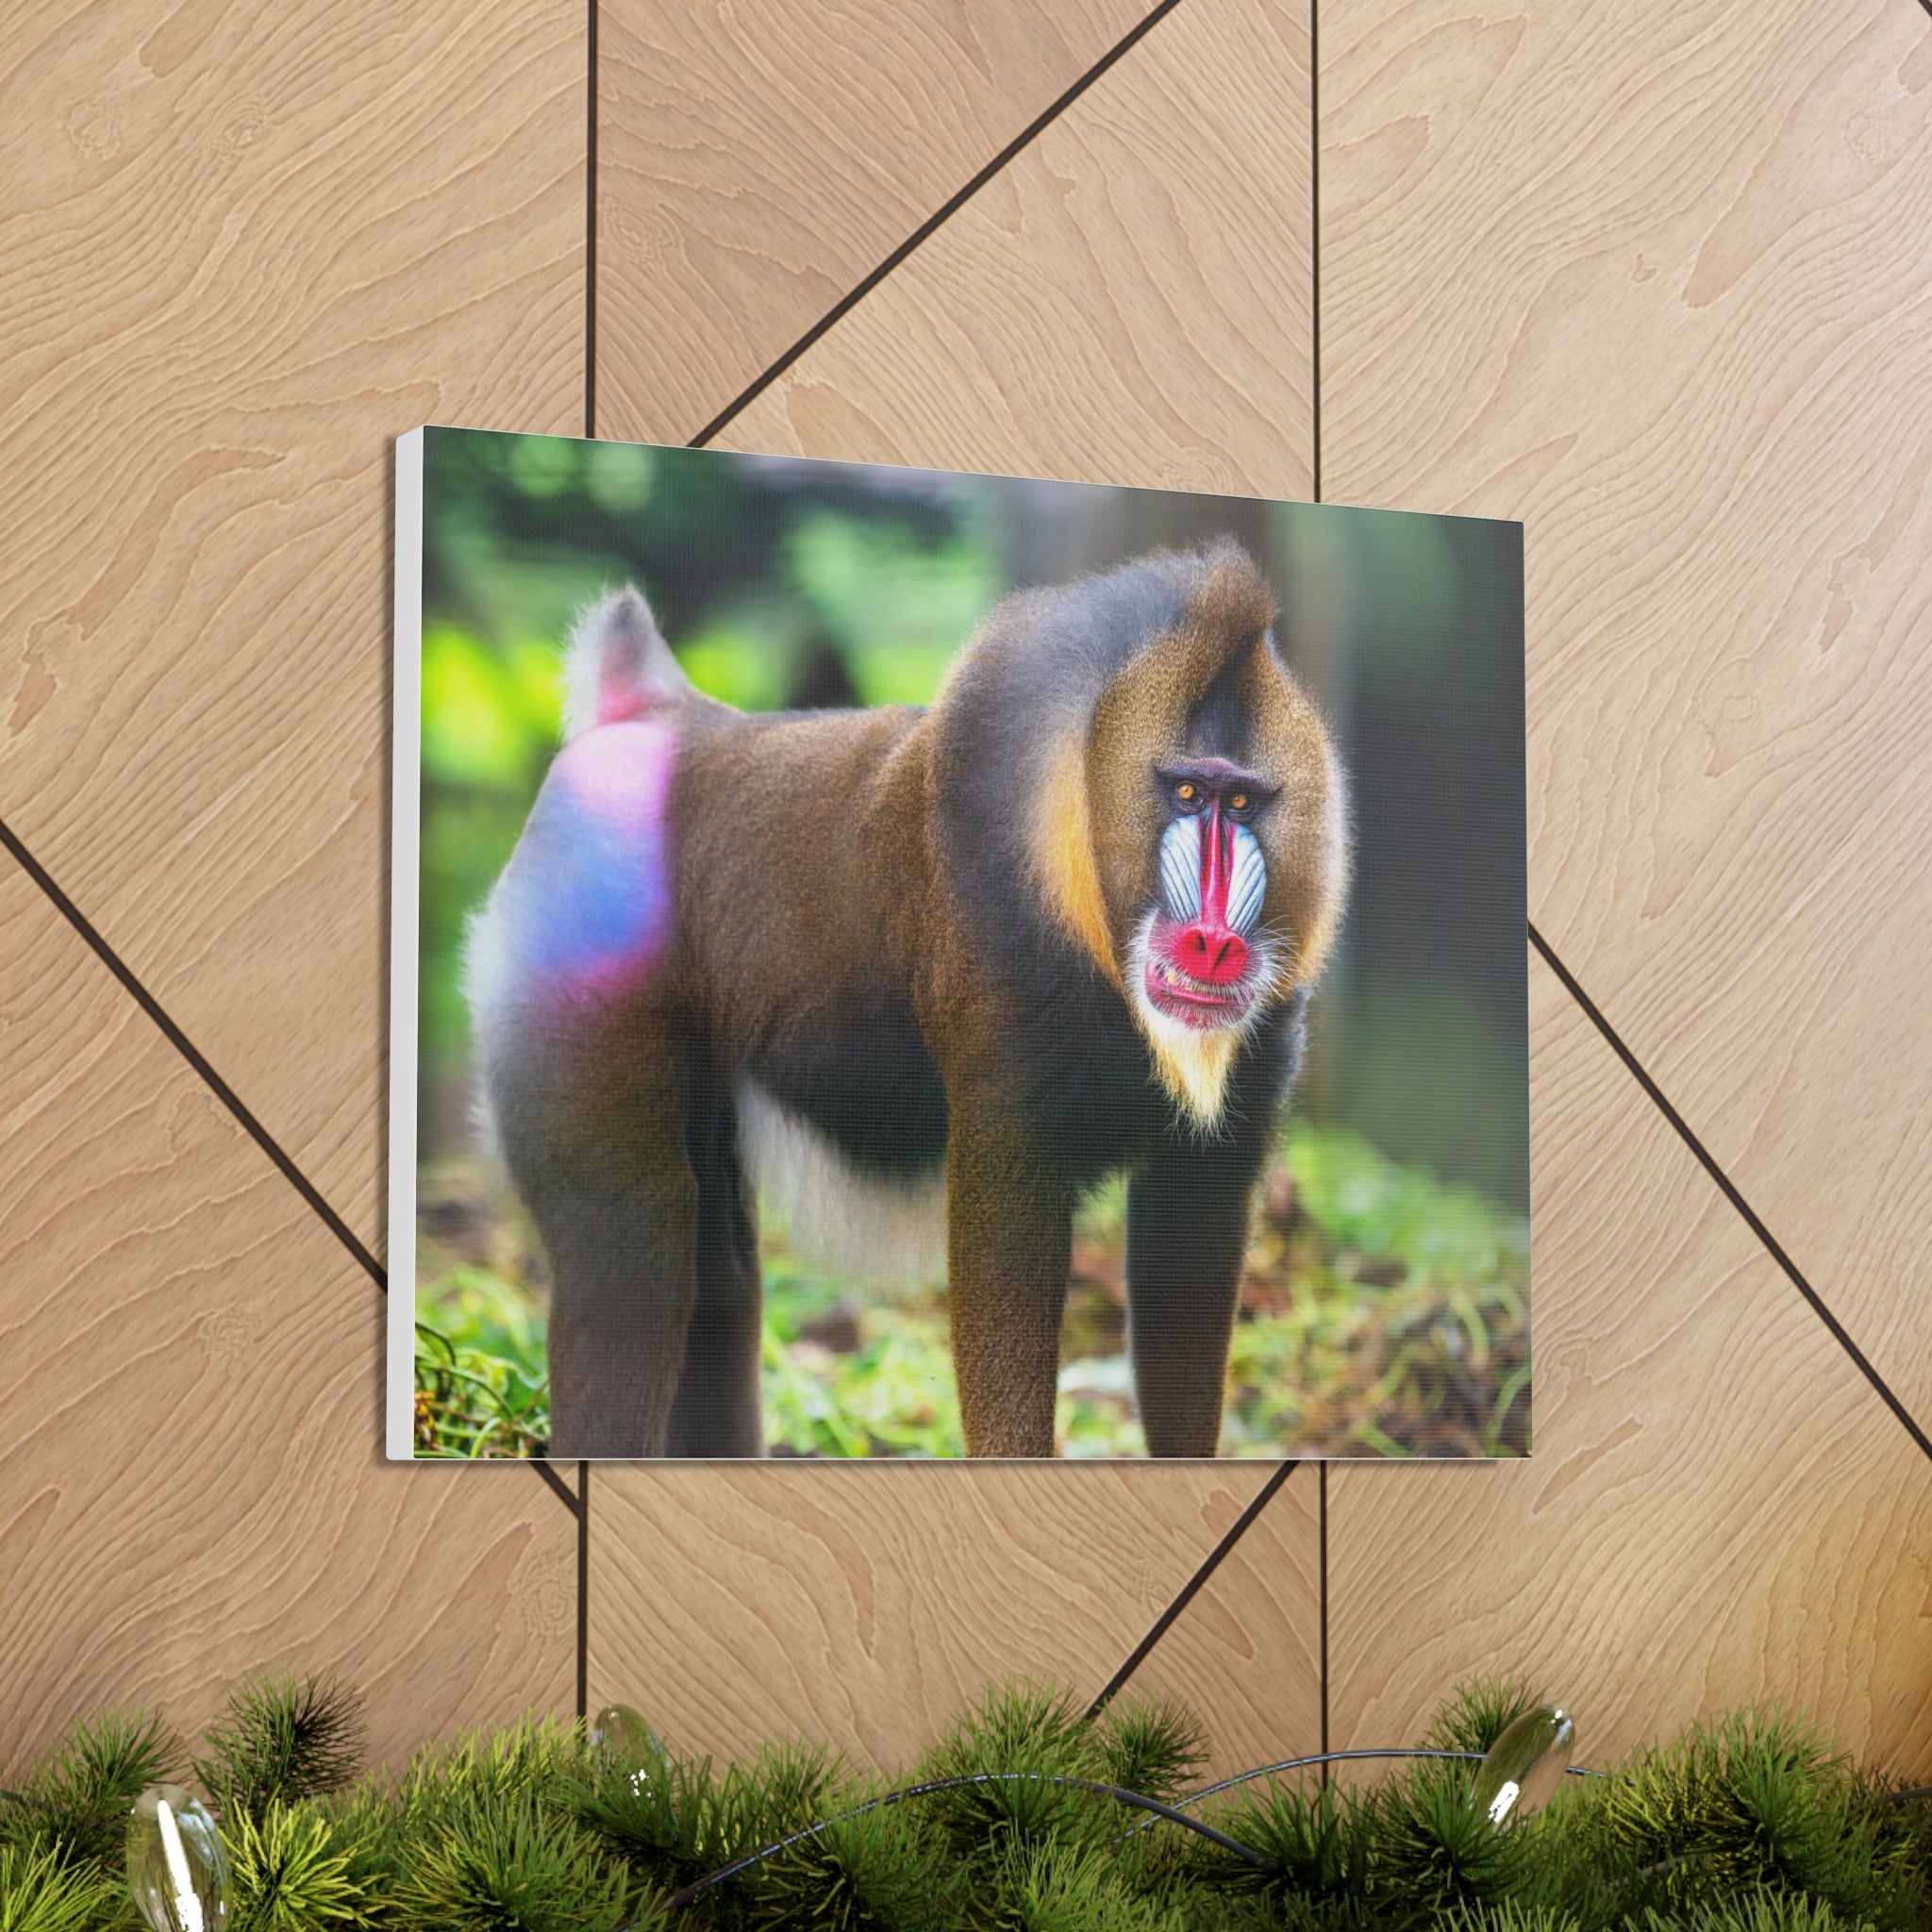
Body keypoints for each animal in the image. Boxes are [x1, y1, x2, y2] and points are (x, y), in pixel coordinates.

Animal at [464, 542, 1348, 1459]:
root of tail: (650, 713)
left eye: (1239, 801)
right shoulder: (1006, 1095)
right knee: (632, 1246)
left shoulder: (1231, 1119)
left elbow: (1185, 1267)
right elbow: (1002, 1273)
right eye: (1184, 795)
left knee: (719, 1269)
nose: (1213, 941)